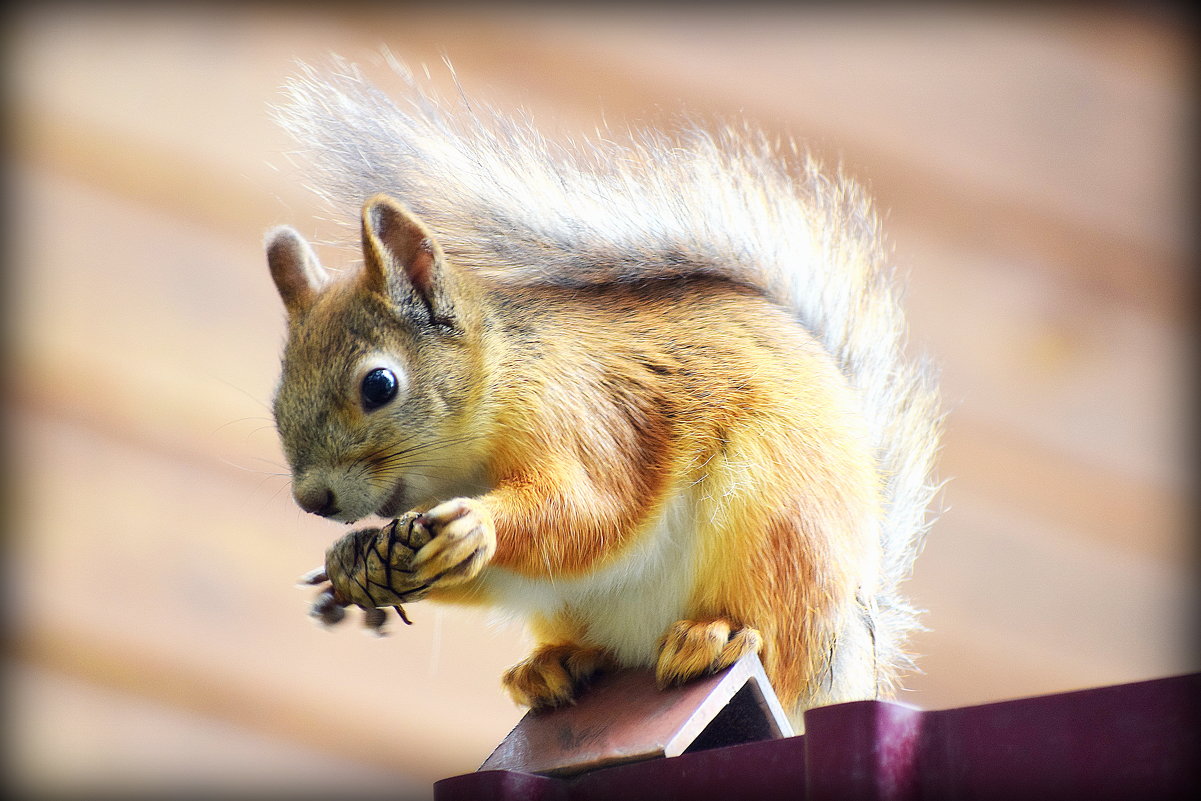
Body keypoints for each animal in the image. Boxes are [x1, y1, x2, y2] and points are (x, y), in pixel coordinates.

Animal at [267, 57, 941, 725]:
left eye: (379, 384)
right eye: (276, 403)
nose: (312, 499)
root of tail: (854, 653)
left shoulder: (584, 416)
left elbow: (592, 509)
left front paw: (475, 526)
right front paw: (353, 563)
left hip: (777, 526)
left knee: (779, 648)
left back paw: (715, 636)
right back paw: (552, 666)